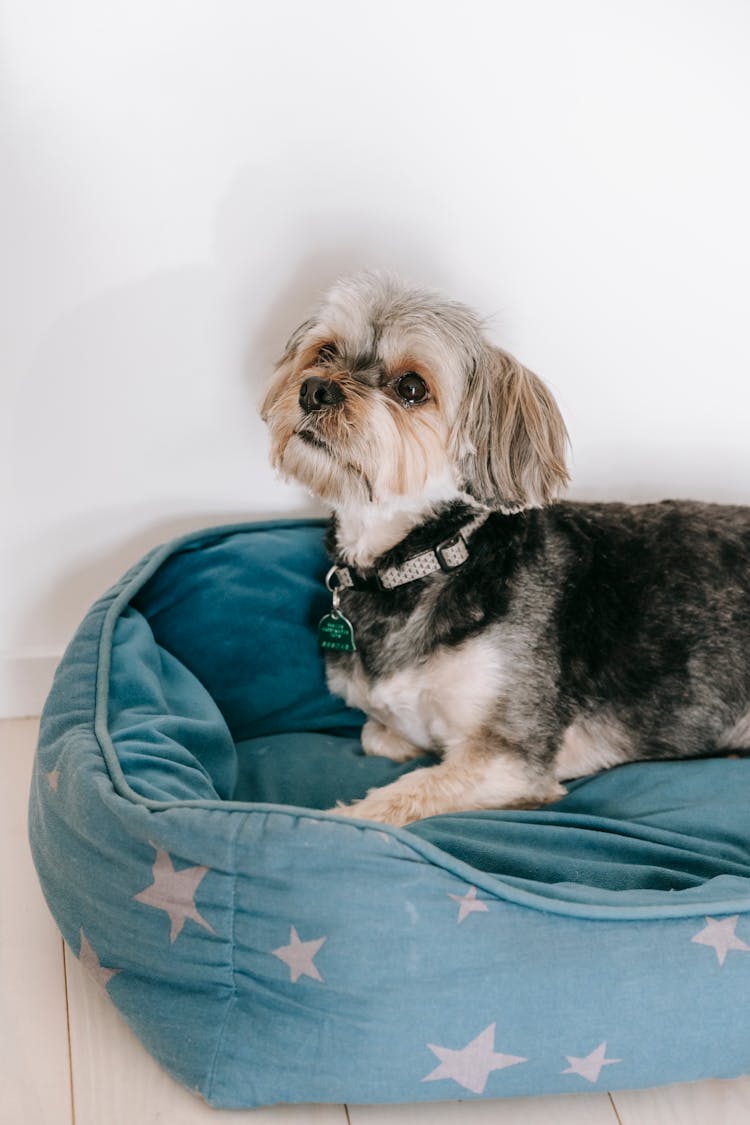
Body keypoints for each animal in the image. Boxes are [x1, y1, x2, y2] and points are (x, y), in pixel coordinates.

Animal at [260, 267, 750, 823]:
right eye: (324, 352)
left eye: (411, 387)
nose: (315, 389)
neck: (425, 558)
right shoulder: (387, 724)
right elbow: (377, 734)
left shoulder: (510, 758)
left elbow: (389, 802)